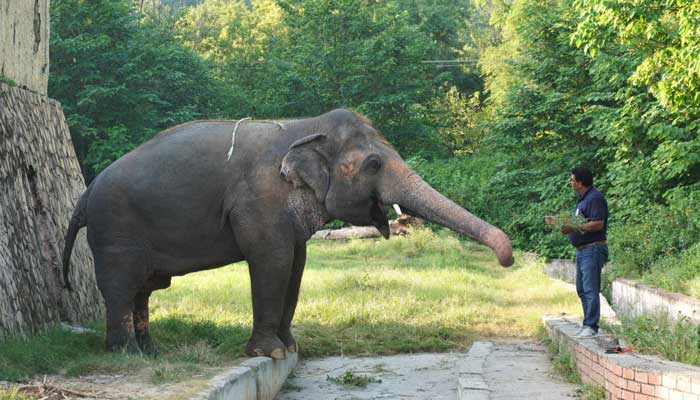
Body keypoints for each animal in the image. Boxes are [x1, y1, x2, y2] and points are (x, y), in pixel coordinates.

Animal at [61, 108, 516, 358]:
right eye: (373, 164)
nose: (507, 260)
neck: (303, 126)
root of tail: (83, 196)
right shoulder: (257, 200)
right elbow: (273, 260)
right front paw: (273, 353)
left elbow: (296, 264)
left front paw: (292, 348)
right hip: (115, 230)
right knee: (121, 286)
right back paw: (127, 356)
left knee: (144, 289)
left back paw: (152, 353)